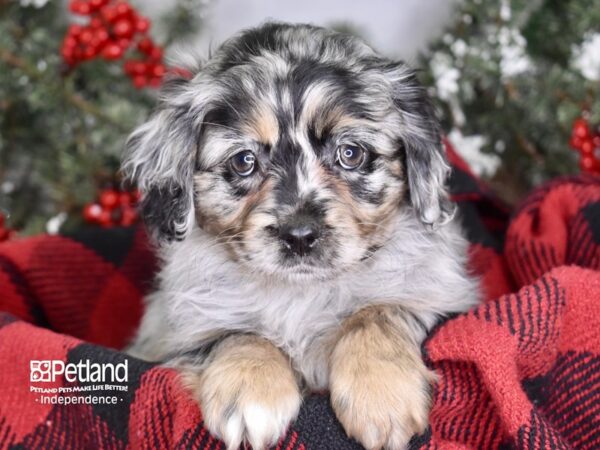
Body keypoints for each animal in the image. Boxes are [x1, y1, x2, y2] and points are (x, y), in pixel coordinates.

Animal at [124, 22, 480, 450]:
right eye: (244, 161)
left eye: (351, 154)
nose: (299, 235)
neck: (300, 294)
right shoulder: (178, 325)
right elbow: (236, 332)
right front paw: (251, 392)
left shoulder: (440, 295)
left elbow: (376, 313)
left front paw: (382, 395)